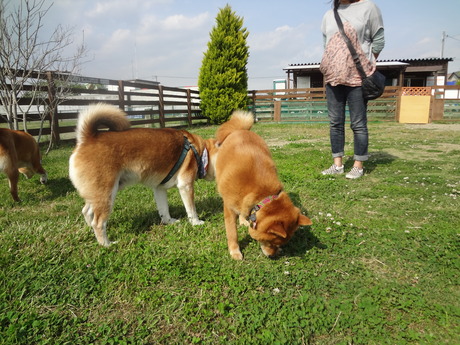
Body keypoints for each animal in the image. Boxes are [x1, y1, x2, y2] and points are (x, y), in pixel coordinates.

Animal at [69, 103, 217, 246]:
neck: (199, 151)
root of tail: (87, 139)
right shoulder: (185, 186)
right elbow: (191, 209)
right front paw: (196, 222)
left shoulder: (159, 188)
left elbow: (164, 209)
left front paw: (168, 221)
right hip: (107, 194)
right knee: (98, 222)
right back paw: (107, 244)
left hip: (97, 193)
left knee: (86, 211)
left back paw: (90, 231)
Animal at [214, 111, 310, 260]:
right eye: (271, 242)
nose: (273, 256)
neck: (261, 194)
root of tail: (240, 130)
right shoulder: (229, 209)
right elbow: (232, 233)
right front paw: (235, 251)